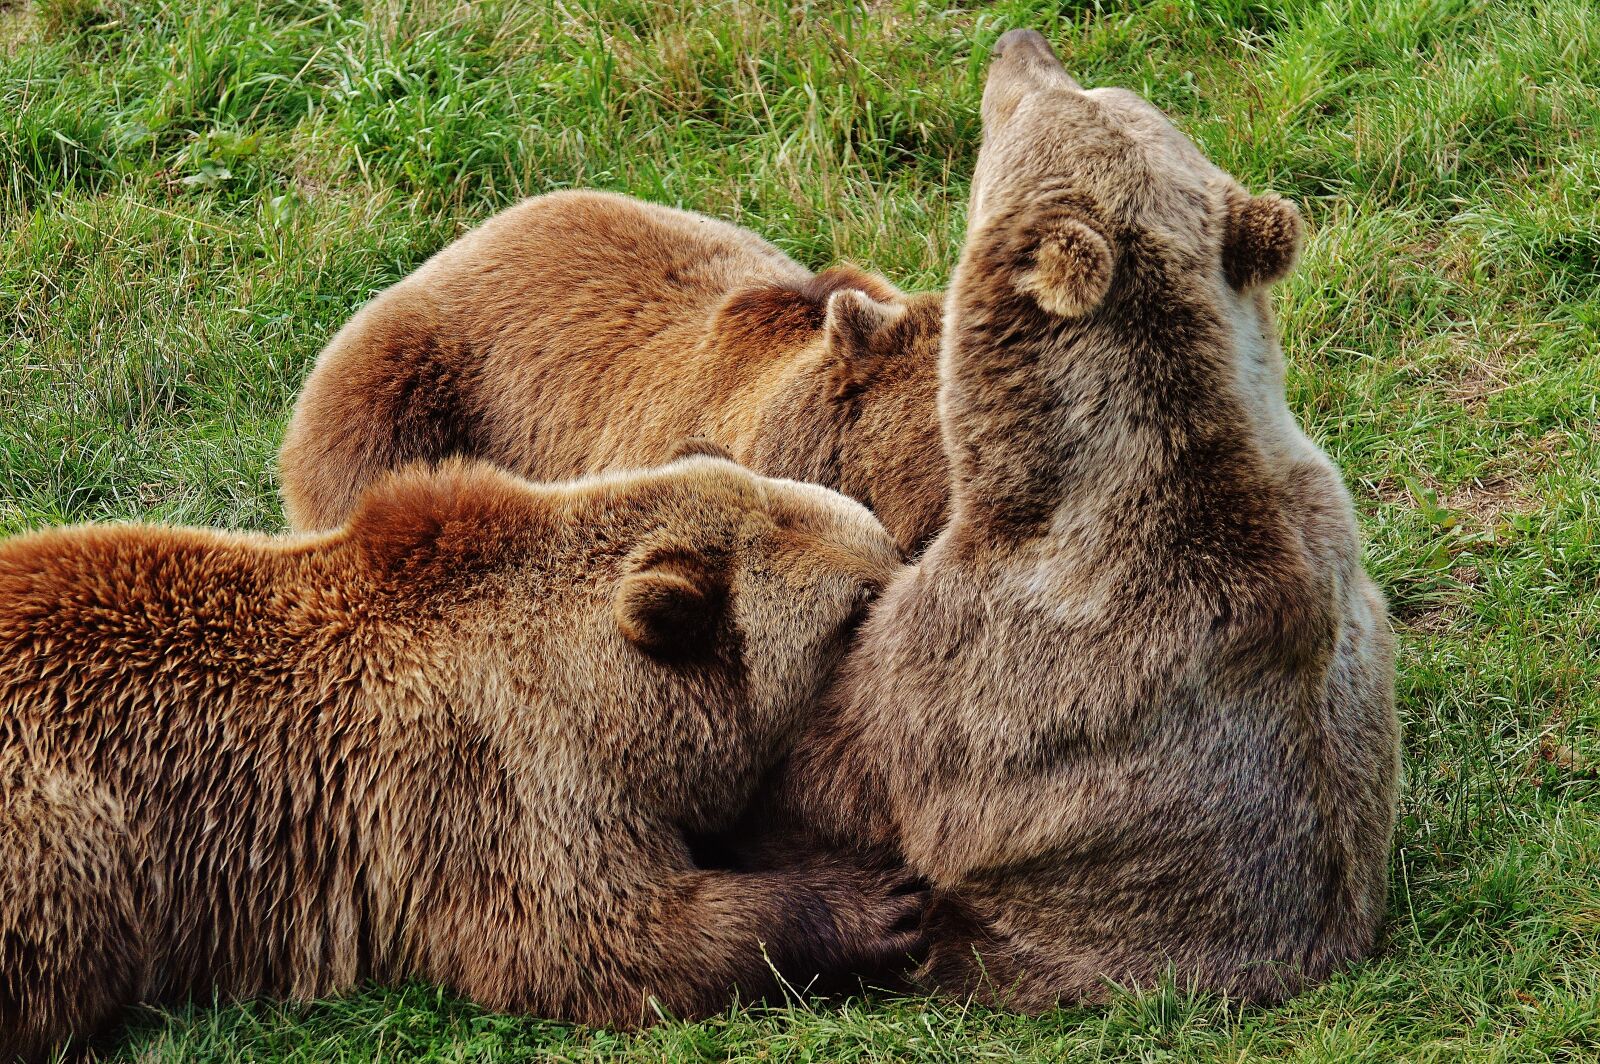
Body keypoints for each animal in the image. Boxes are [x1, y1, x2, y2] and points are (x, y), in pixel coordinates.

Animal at [0, 455, 926, 1063]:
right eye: (857, 606)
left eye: (882, 546)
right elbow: (592, 936)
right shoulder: (500, 773)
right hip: (63, 827)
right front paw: (876, 902)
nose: (910, 573)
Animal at [770, 29, 1401, 1009]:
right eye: (1106, 89)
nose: (1017, 42)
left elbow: (844, 761)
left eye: (1031, 107)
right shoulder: (1326, 525)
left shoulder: (973, 669)